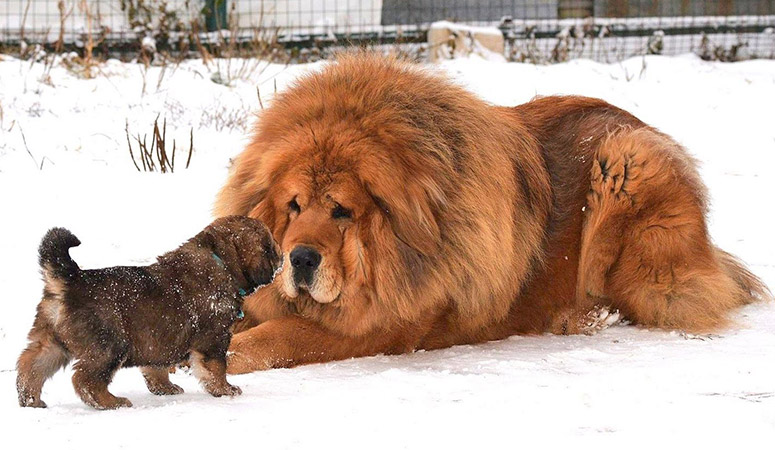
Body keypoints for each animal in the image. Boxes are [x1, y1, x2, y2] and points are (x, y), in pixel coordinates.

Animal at [16, 216, 282, 410]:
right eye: (269, 246)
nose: (282, 255)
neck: (221, 261)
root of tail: (70, 279)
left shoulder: (159, 340)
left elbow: (156, 368)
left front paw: (164, 388)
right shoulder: (214, 338)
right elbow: (216, 368)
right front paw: (226, 390)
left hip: (51, 341)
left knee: (31, 366)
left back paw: (30, 400)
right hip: (110, 345)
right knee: (85, 380)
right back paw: (112, 402)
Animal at [214, 53, 768, 372]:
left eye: (343, 211)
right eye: (294, 206)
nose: (301, 259)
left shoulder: (381, 326)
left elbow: (277, 336)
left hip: (628, 165)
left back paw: (584, 315)